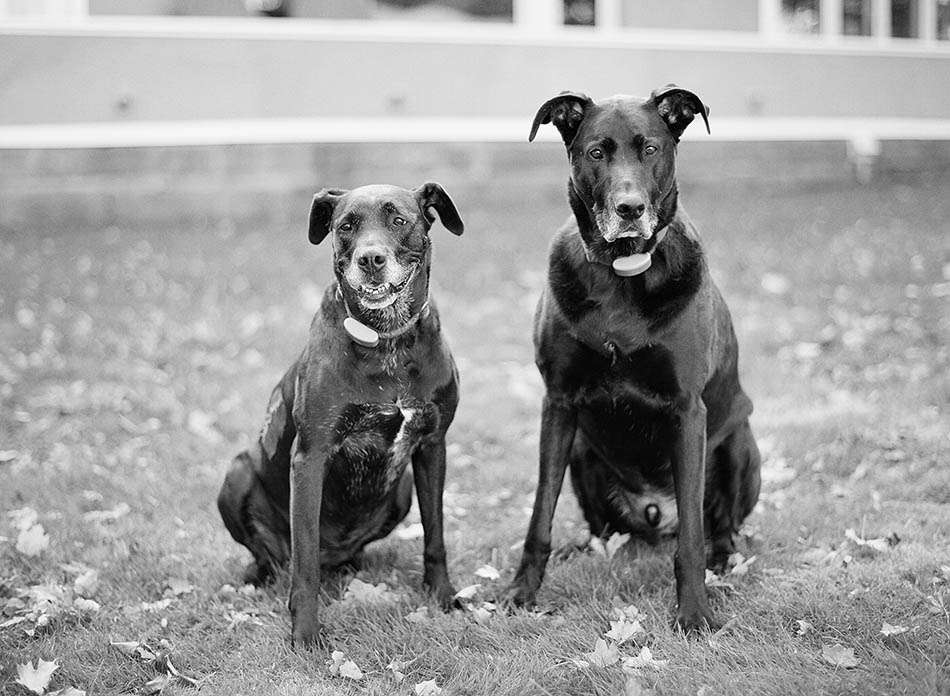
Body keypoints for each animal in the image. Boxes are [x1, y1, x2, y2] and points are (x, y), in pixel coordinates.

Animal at [217, 182, 468, 644]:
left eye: (398, 219)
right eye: (346, 226)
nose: (370, 259)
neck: (387, 341)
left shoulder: (432, 446)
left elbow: (436, 535)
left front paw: (443, 598)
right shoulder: (310, 457)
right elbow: (304, 563)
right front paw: (305, 634)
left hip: (402, 488)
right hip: (237, 472)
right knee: (278, 559)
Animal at [506, 85, 768, 632]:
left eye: (650, 148)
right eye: (596, 152)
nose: (630, 208)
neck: (621, 272)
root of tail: (653, 516)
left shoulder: (688, 409)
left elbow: (692, 537)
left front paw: (694, 613)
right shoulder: (558, 402)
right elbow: (540, 513)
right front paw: (521, 592)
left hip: (739, 441)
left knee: (718, 526)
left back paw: (724, 558)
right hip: (582, 450)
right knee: (606, 532)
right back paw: (583, 550)